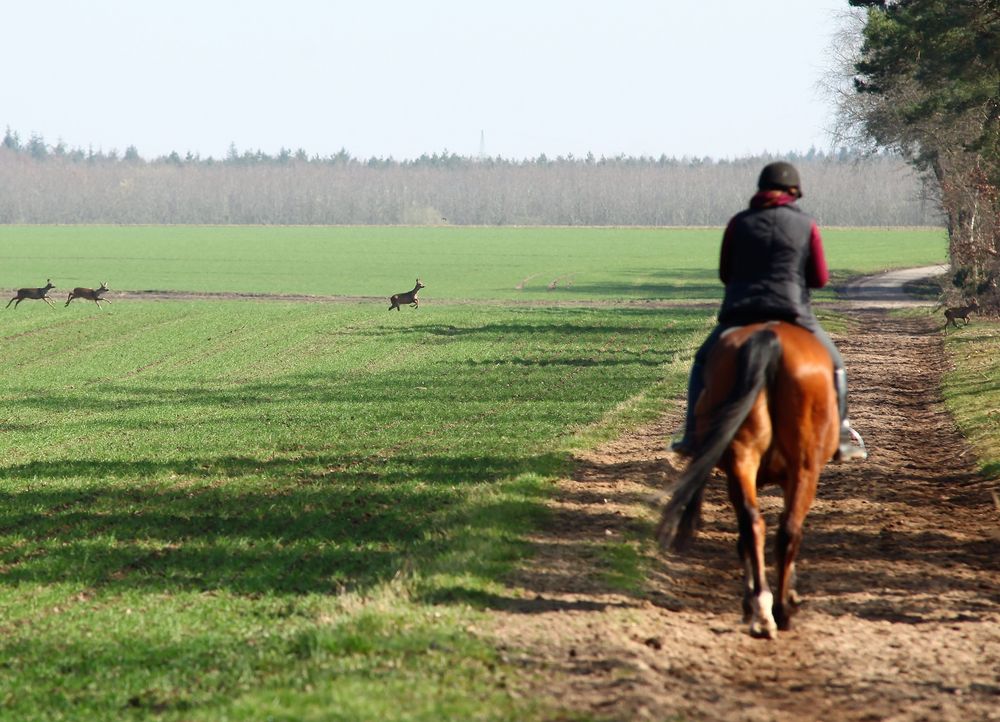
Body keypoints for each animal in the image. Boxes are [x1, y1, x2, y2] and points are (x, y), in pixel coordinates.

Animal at [660, 320, 840, 636]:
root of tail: (768, 338)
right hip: (804, 466)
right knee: (787, 530)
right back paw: (778, 610)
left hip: (742, 459)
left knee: (753, 524)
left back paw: (762, 610)